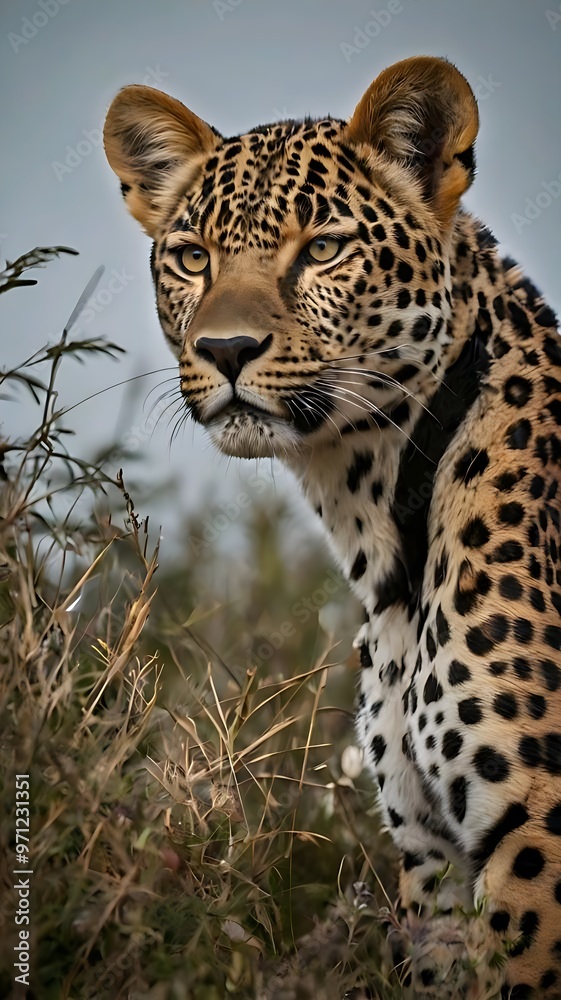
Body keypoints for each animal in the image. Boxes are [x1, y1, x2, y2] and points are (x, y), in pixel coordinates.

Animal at [104, 56, 561, 998]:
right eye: (193, 258)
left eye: (322, 249)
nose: (226, 350)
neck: (383, 519)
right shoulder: (432, 857)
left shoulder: (534, 835)